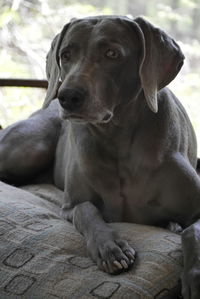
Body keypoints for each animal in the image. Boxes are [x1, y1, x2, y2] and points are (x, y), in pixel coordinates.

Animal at [0, 16, 200, 299]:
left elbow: (194, 230)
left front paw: (194, 275)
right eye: (66, 55)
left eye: (112, 54)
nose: (67, 96)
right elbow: (86, 210)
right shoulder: (69, 205)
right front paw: (110, 246)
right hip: (31, 146)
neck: (118, 139)